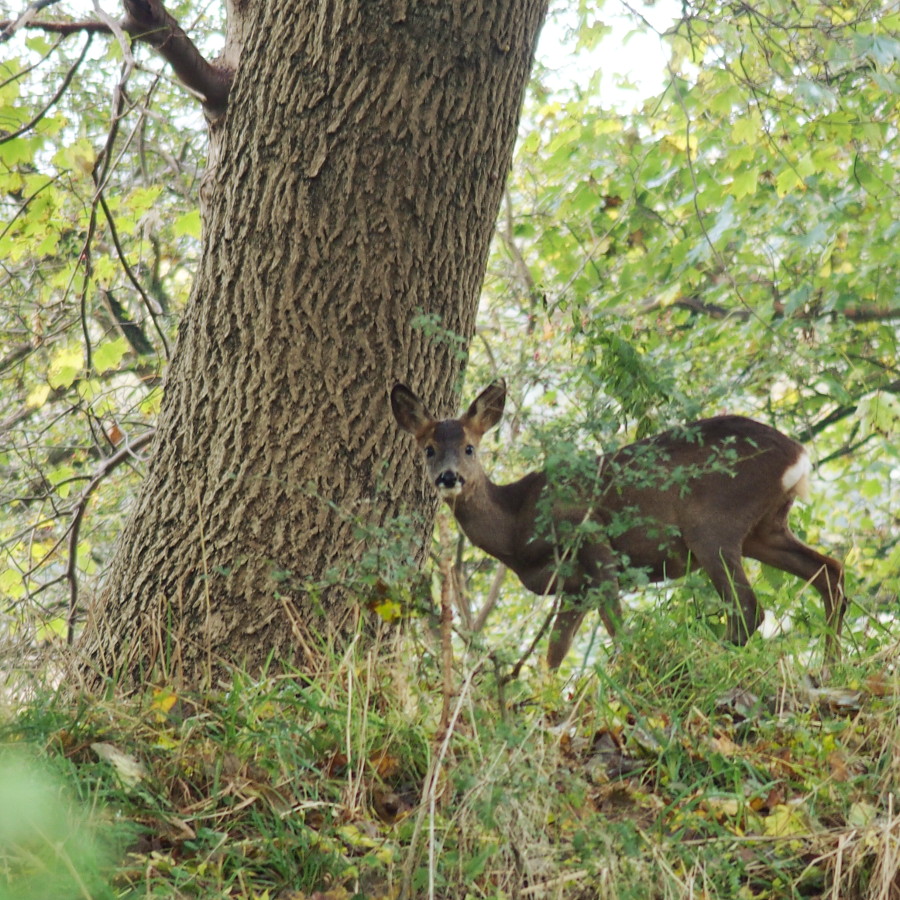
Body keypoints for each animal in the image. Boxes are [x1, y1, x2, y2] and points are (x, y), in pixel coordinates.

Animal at [392, 380, 844, 668]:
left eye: (470, 447)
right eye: (428, 449)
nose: (449, 477)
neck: (518, 524)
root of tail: (798, 455)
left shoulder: (591, 541)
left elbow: (618, 631)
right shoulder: (574, 589)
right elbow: (553, 656)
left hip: (713, 526)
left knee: (750, 608)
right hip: (765, 528)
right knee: (829, 570)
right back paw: (829, 668)